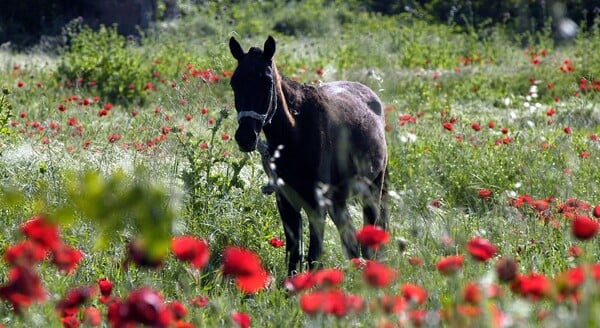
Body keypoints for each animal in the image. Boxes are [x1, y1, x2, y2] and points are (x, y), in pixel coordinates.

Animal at [227, 35, 386, 274]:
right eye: (234, 82)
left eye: (267, 82)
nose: (245, 137)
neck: (296, 133)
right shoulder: (287, 203)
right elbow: (294, 256)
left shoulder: (316, 206)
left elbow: (313, 257)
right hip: (338, 201)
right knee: (351, 242)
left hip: (372, 189)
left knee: (367, 242)